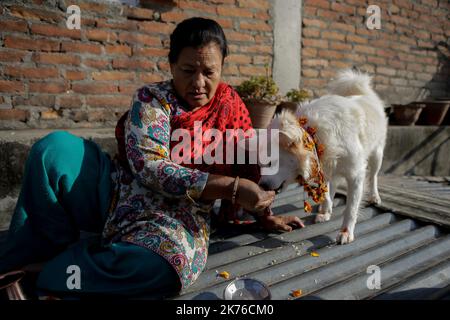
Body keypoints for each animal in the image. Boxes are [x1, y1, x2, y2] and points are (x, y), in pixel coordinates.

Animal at [258, 70, 388, 244]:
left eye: (271, 163)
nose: (261, 186)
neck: (315, 135)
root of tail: (363, 93)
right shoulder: (323, 164)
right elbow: (326, 191)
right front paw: (327, 208)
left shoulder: (356, 175)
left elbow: (351, 208)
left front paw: (346, 232)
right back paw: (325, 210)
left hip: (376, 155)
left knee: (373, 176)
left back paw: (374, 196)